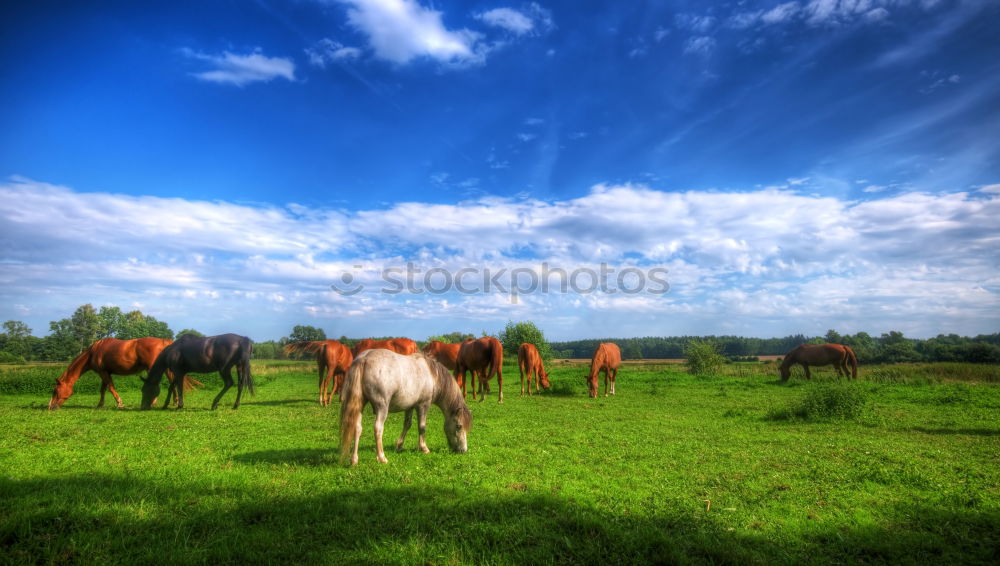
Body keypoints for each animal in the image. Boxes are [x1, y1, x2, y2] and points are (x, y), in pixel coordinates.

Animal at [48, 338, 201, 412]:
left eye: (55, 390)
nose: (51, 407)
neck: (93, 352)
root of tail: (164, 341)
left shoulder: (103, 373)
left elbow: (110, 387)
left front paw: (120, 403)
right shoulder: (105, 372)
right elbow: (103, 389)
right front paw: (100, 404)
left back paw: (155, 402)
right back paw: (174, 401)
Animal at [340, 352, 472, 468]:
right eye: (459, 426)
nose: (463, 450)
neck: (432, 376)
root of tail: (364, 359)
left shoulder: (410, 406)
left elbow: (407, 424)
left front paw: (399, 446)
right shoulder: (423, 405)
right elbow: (422, 427)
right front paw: (424, 448)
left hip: (360, 405)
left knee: (357, 428)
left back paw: (354, 460)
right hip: (382, 408)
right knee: (378, 429)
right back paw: (382, 457)